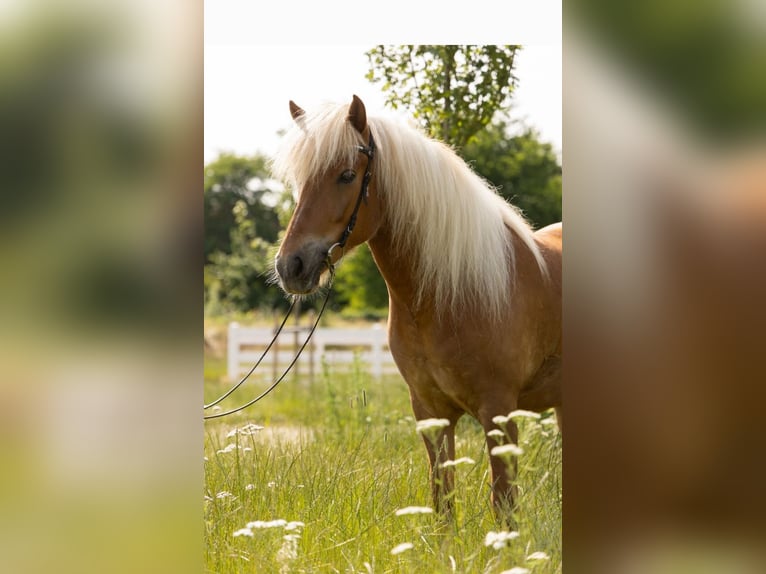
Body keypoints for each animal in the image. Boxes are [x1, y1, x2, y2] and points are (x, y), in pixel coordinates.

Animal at [272, 95, 562, 513]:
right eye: (300, 180)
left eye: (347, 175)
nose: (290, 266)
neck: (449, 296)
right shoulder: (430, 413)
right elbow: (443, 503)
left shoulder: (499, 411)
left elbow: (504, 504)